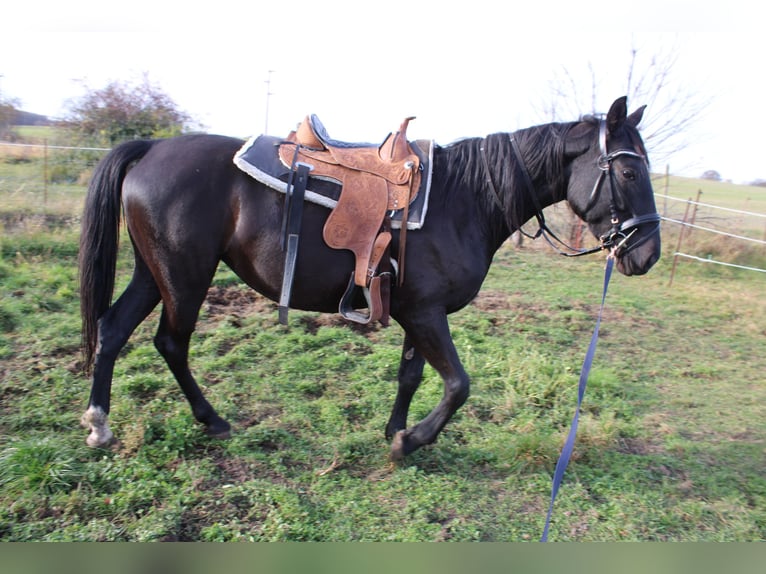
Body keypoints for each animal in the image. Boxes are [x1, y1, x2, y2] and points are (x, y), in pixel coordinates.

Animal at [79, 96, 661, 460]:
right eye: (629, 171)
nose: (648, 253)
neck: (464, 198)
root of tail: (152, 146)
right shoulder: (425, 313)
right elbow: (458, 385)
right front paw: (410, 443)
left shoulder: (417, 311)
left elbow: (412, 376)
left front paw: (395, 430)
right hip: (185, 277)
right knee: (171, 342)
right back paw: (205, 419)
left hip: (154, 272)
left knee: (114, 329)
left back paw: (103, 423)